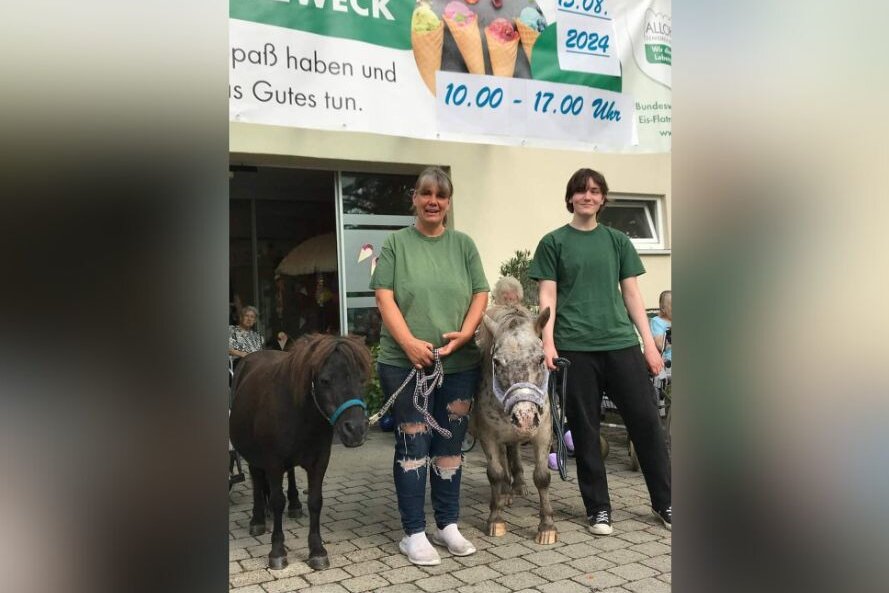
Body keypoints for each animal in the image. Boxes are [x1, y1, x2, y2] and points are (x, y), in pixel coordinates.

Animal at [229, 332, 372, 568]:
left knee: (290, 474)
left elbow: (315, 501)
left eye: (362, 379)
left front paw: (317, 550)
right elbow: (277, 501)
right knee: (257, 478)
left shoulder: (319, 461)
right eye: (324, 380)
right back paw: (258, 519)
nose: (356, 429)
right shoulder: (273, 463)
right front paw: (277, 551)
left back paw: (294, 504)